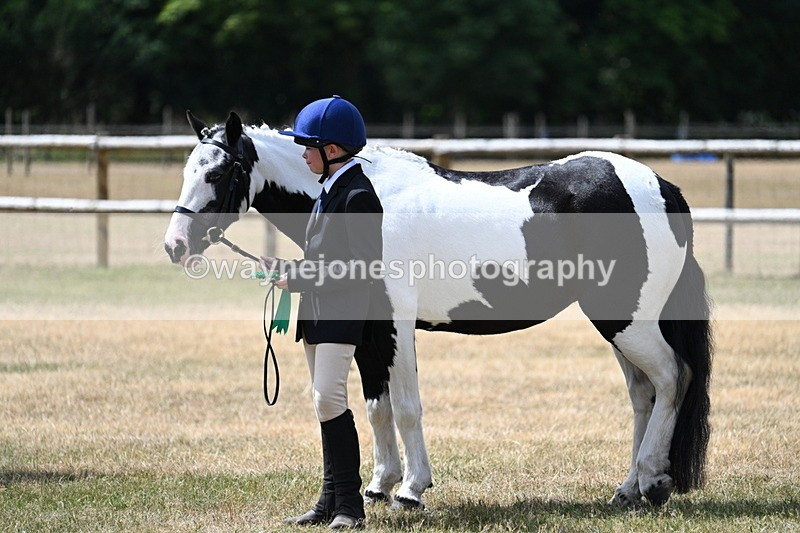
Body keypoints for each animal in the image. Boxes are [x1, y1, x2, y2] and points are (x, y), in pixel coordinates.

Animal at [164, 111, 712, 509]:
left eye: (217, 172)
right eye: (187, 169)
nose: (174, 246)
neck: (365, 193)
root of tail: (664, 189)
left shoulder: (395, 323)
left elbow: (406, 406)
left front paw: (411, 489)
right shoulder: (368, 329)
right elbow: (376, 406)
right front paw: (379, 484)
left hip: (627, 321)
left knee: (672, 377)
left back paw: (652, 481)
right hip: (619, 323)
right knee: (643, 393)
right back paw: (628, 489)